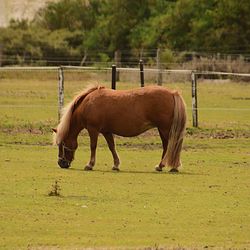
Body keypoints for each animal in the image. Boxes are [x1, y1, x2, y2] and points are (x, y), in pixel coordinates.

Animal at [52, 85, 186, 172]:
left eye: (61, 144)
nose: (60, 163)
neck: (88, 104)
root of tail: (172, 93)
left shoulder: (93, 129)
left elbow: (93, 146)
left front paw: (90, 165)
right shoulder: (106, 131)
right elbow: (112, 147)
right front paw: (116, 165)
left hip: (164, 129)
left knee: (169, 146)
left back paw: (164, 165)